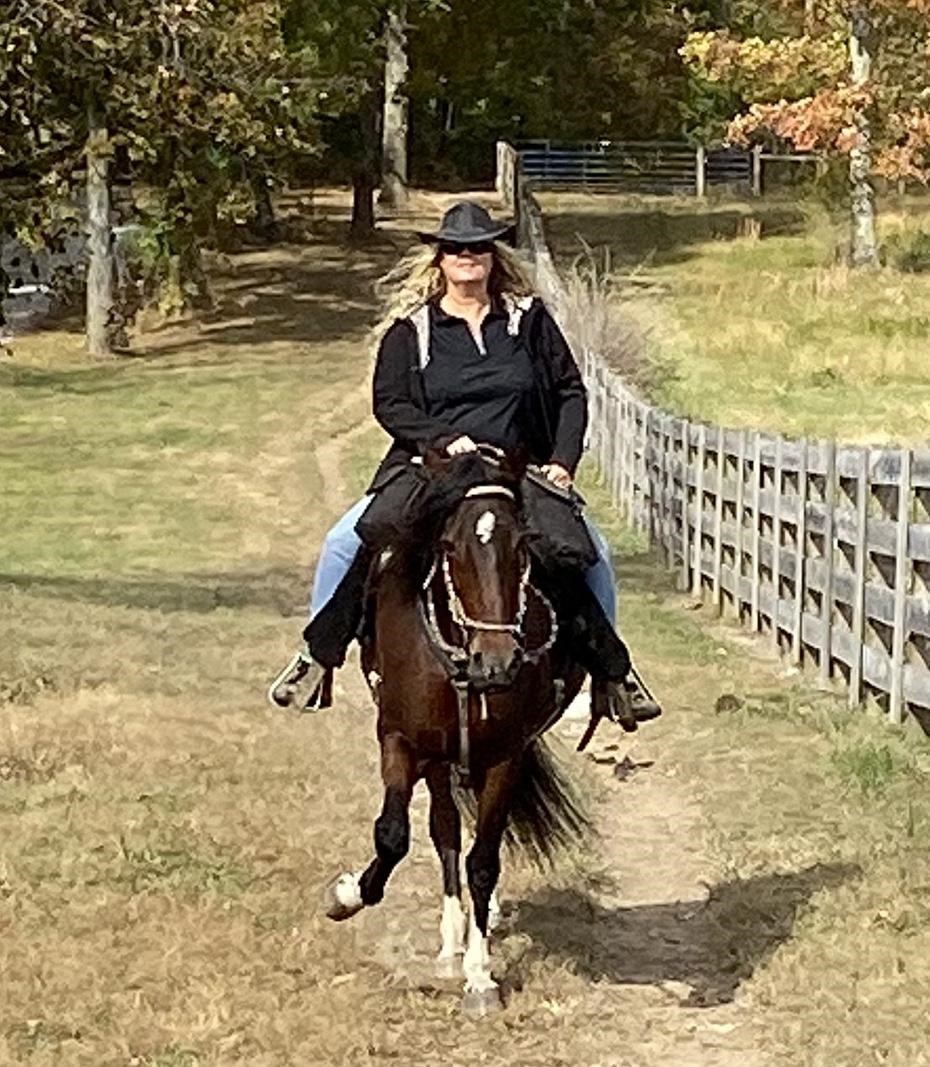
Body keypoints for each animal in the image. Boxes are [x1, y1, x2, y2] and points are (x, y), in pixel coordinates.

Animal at [324, 448, 592, 1015]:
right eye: (449, 546)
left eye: (523, 544)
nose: (498, 661)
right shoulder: (401, 739)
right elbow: (393, 835)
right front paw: (348, 895)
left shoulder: (506, 756)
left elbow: (484, 861)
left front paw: (481, 976)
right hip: (437, 758)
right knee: (443, 829)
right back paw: (448, 943)